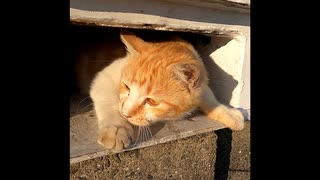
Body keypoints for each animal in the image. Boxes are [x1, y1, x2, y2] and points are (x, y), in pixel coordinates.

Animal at [84, 30, 244, 151]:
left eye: (151, 101)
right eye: (127, 87)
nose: (125, 114)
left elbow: (207, 93)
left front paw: (227, 112)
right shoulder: (103, 77)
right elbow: (108, 101)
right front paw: (116, 128)